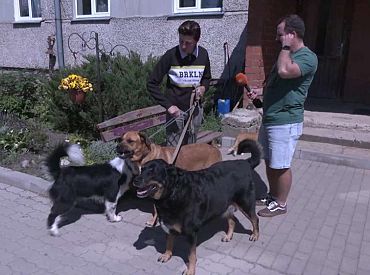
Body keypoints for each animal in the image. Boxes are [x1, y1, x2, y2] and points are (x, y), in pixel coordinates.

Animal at [133, 141, 260, 274]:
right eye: (142, 170)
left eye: (152, 172)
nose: (135, 180)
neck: (173, 193)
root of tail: (245, 163)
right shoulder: (168, 227)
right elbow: (169, 243)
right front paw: (167, 255)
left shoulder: (191, 234)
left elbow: (191, 255)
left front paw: (190, 270)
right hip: (224, 206)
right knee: (233, 220)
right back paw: (228, 236)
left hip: (245, 203)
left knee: (255, 219)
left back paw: (255, 235)